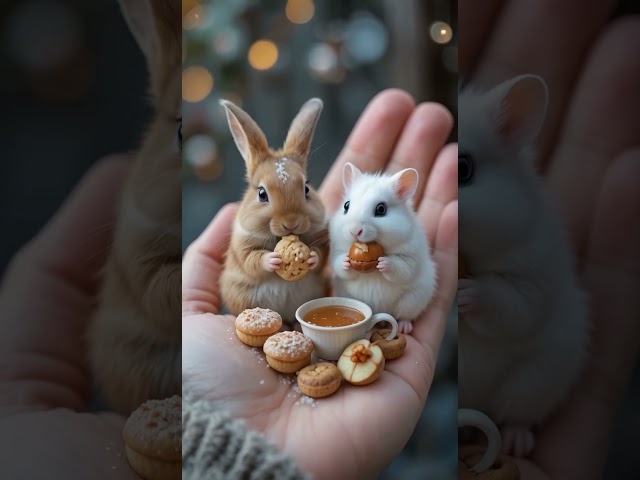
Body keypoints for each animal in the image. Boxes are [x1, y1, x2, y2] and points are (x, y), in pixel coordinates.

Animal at [330, 162, 436, 334]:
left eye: (381, 209)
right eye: (346, 206)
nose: (354, 231)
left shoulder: (410, 257)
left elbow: (401, 268)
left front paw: (383, 263)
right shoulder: (336, 251)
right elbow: (340, 265)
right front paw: (346, 261)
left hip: (413, 300)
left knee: (404, 316)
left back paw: (404, 328)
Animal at [458, 75, 588, 458]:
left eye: (464, 169)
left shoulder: (531, 284)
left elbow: (507, 303)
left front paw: (467, 292)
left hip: (539, 378)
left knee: (516, 417)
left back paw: (517, 445)